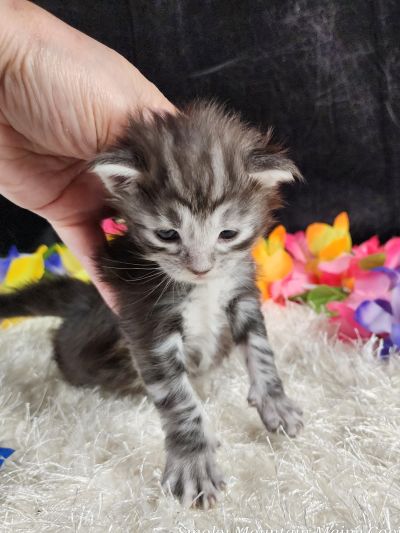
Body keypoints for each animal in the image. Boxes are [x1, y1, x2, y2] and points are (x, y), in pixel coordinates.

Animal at [0, 101, 303, 508]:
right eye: (167, 234)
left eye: (227, 234)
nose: (200, 268)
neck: (201, 287)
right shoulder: (145, 318)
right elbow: (178, 397)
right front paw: (193, 460)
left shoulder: (241, 291)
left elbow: (260, 349)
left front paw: (275, 400)